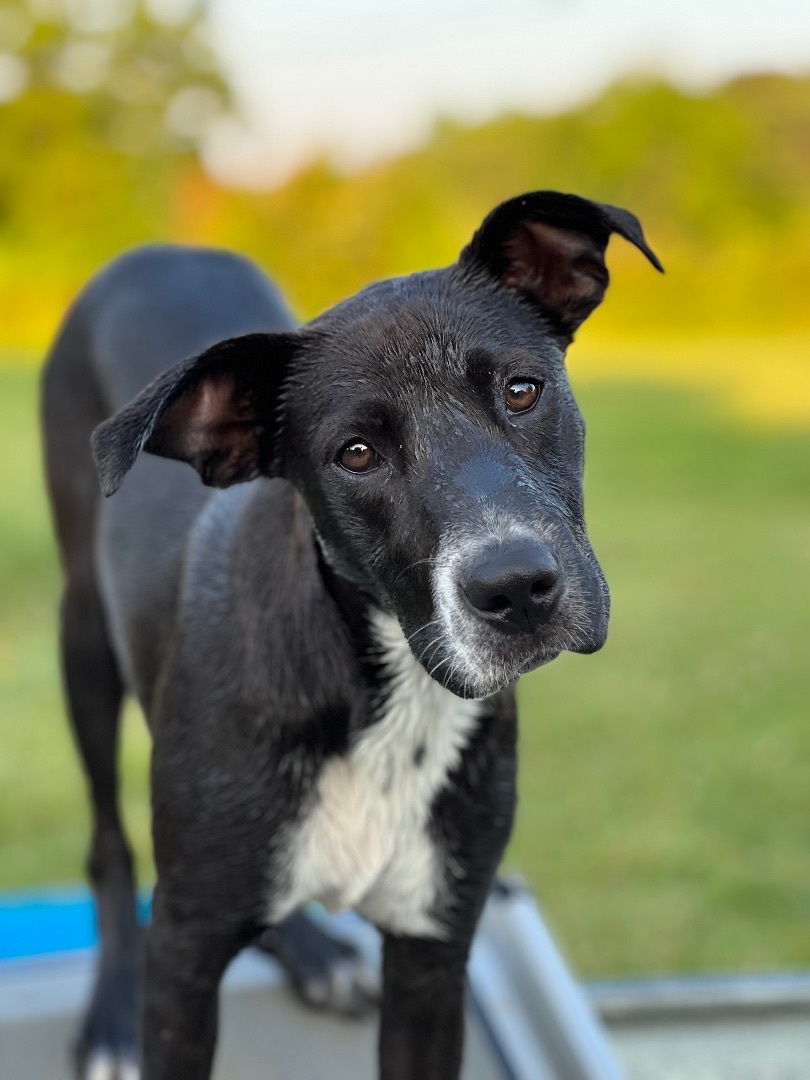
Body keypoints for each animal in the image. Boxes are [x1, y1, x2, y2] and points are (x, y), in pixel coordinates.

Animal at [42, 194, 660, 1080]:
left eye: (521, 390)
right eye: (356, 455)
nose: (515, 587)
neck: (387, 691)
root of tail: (161, 252)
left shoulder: (434, 955)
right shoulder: (184, 961)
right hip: (84, 643)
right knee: (107, 840)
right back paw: (110, 1014)